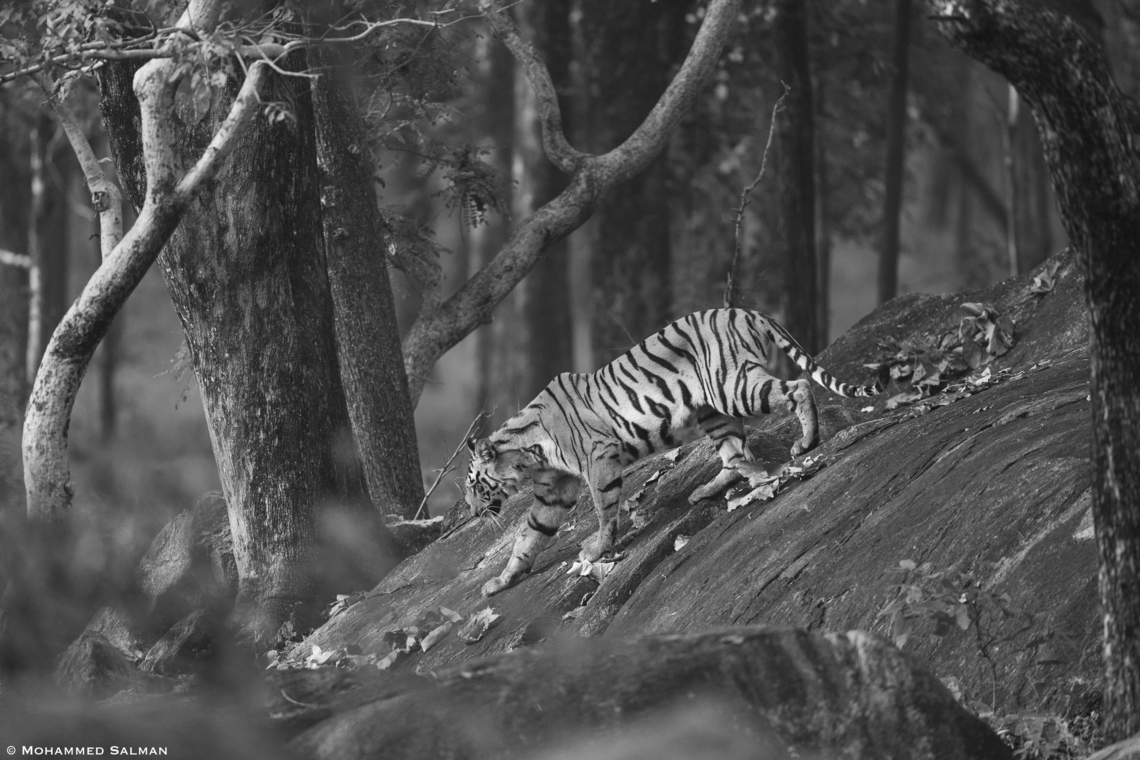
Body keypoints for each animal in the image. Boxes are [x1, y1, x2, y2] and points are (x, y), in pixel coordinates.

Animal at [466, 308, 885, 597]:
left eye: (473, 485)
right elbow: (529, 535)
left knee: (798, 387)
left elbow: (603, 509)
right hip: (714, 409)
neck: (528, 452)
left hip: (733, 388)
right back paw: (709, 490)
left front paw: (597, 549)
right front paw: (500, 582)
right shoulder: (555, 490)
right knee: (734, 454)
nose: (470, 513)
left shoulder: (599, 459)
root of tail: (744, 310)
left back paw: (807, 442)